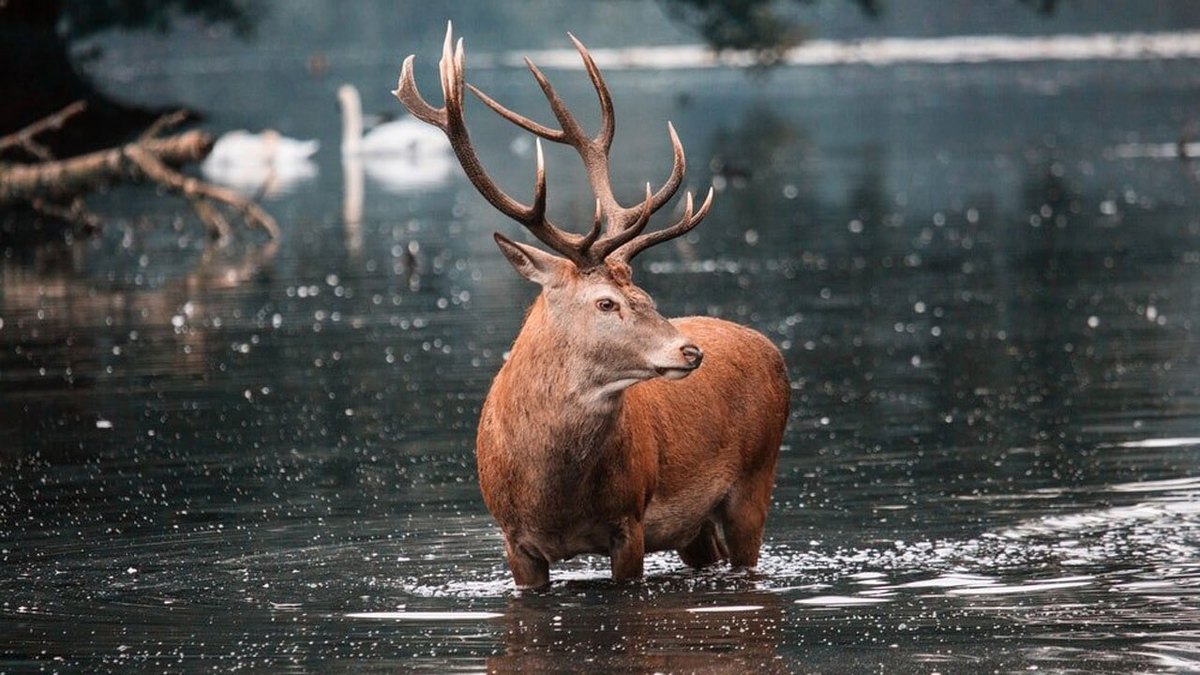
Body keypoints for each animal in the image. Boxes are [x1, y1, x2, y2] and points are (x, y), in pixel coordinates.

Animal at [393, 23, 787, 586]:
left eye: (645, 295)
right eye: (606, 303)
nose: (690, 351)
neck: (553, 498)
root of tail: (771, 348)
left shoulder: (630, 521)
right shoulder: (513, 541)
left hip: (756, 479)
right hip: (694, 526)